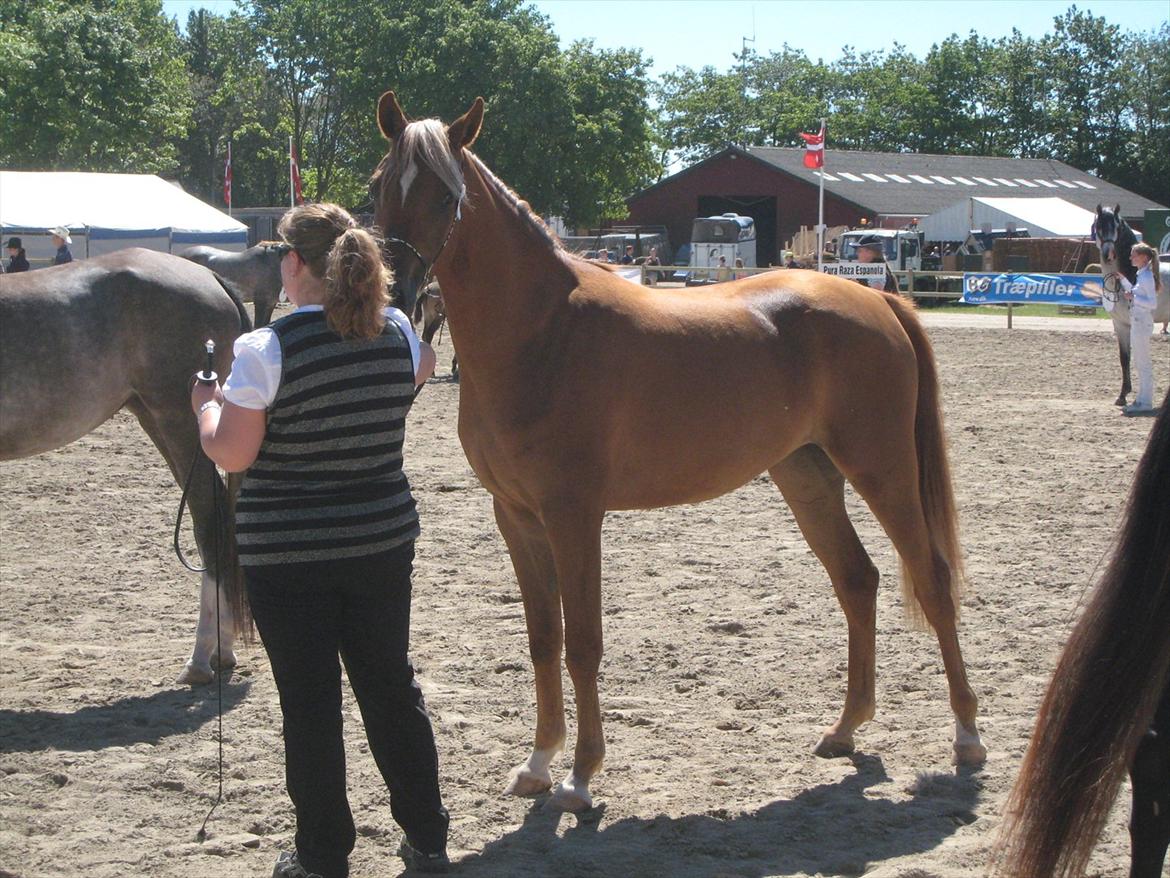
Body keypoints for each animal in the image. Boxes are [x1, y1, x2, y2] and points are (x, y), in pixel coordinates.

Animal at [369, 93, 982, 814]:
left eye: (444, 196)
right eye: (379, 187)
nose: (395, 292)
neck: (541, 332)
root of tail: (879, 298)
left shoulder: (574, 515)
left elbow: (583, 642)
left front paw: (581, 776)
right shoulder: (515, 516)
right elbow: (544, 640)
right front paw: (539, 763)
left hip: (882, 469)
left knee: (932, 580)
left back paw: (966, 736)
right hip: (807, 475)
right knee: (857, 580)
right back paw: (845, 729)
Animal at [1090, 207, 1165, 409]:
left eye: (1116, 226)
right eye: (1098, 225)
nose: (1108, 254)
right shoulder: (1120, 324)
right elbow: (1125, 358)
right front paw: (1122, 395)